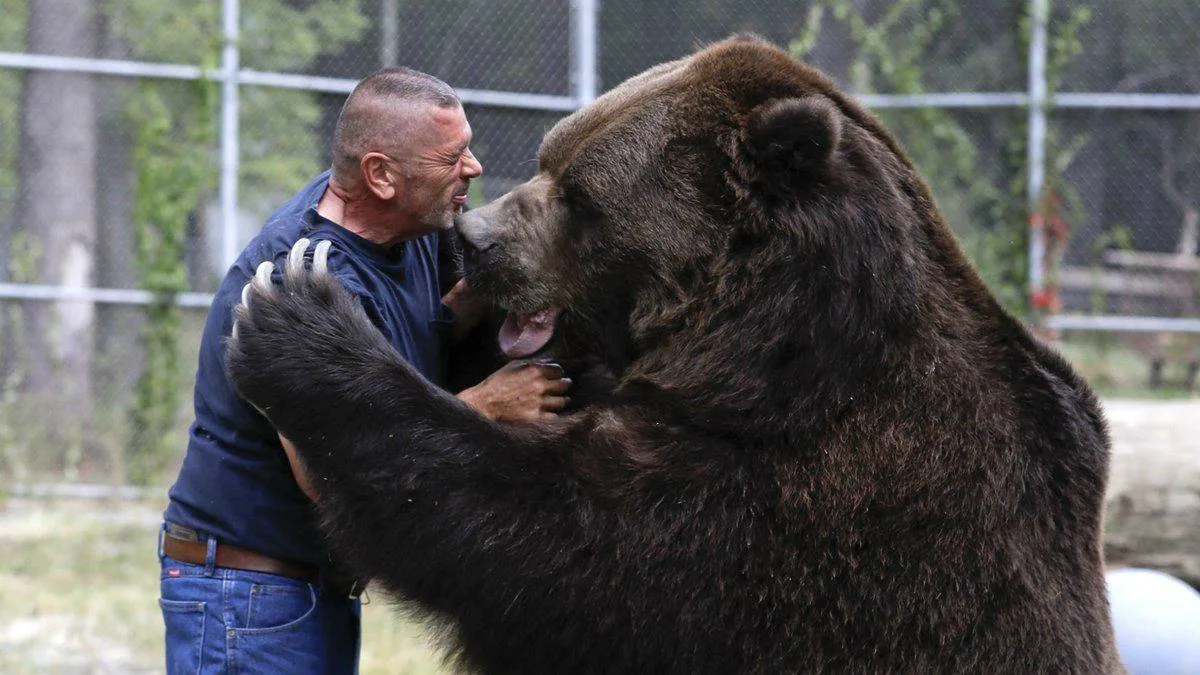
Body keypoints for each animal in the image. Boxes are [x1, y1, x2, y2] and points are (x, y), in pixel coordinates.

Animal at [226, 36, 1121, 673]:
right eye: (549, 154)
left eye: (581, 196)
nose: (473, 239)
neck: (768, 346)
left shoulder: (797, 503)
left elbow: (556, 536)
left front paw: (300, 321)